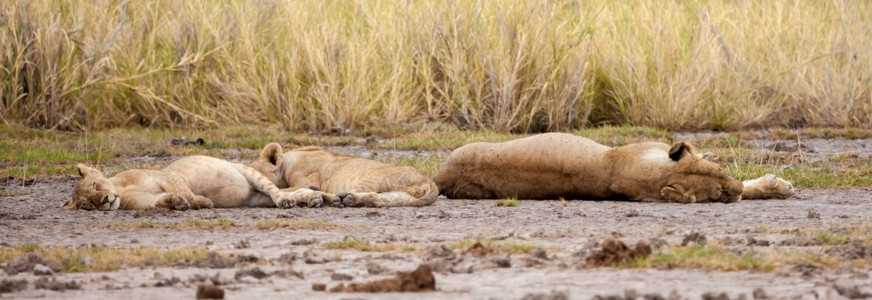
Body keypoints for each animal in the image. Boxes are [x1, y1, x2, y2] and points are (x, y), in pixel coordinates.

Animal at [250, 144, 440, 207]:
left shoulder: (305, 178)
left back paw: (334, 199)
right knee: (377, 199)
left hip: (373, 176)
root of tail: (428, 180)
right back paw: (347, 199)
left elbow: (289, 189)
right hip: (398, 195)